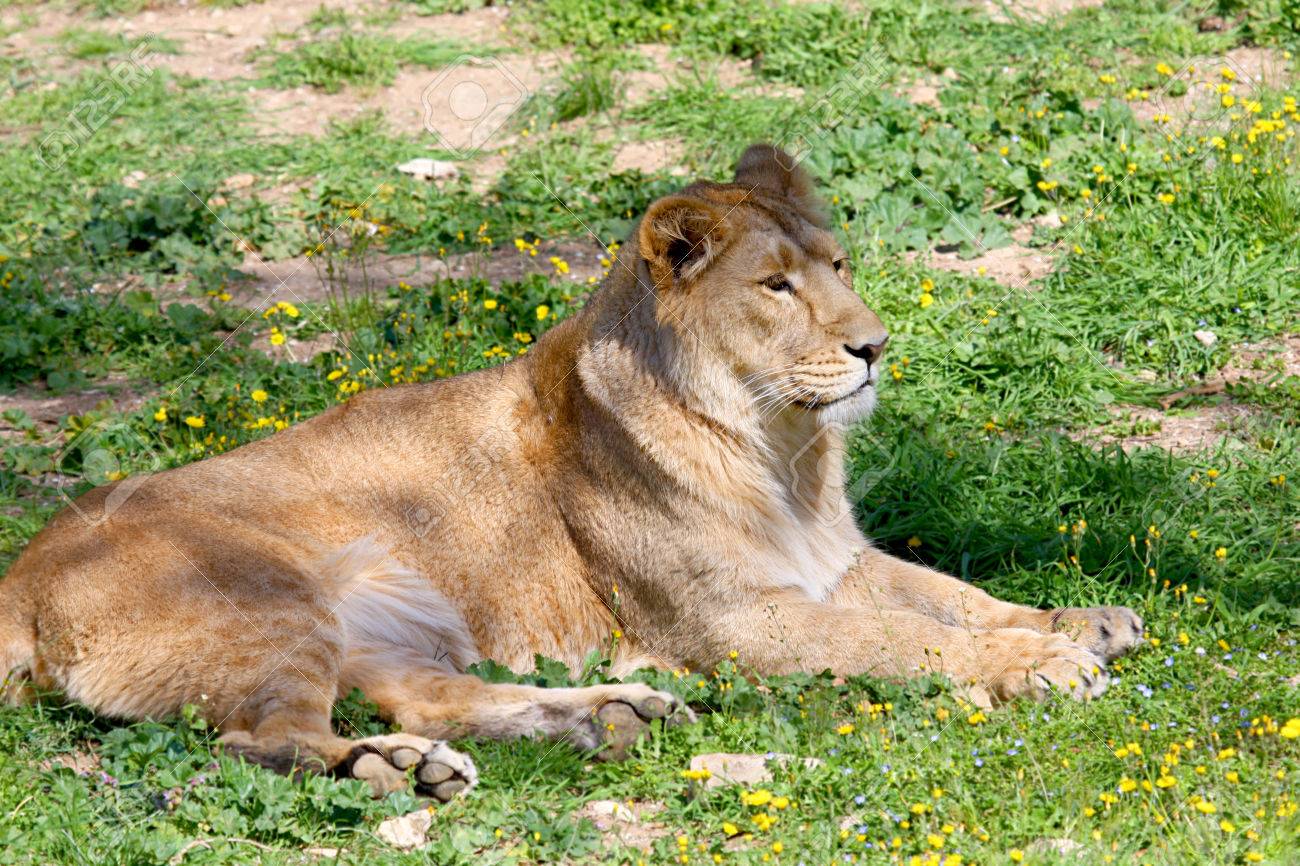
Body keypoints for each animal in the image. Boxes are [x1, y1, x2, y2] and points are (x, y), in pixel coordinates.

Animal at [0, 144, 1141, 799]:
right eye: (775, 286)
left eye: (838, 265)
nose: (875, 347)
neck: (783, 447)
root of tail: (20, 572)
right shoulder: (735, 621)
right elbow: (902, 636)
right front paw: (1037, 664)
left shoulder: (835, 562)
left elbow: (949, 591)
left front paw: (1080, 620)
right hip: (267, 601)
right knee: (264, 740)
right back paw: (401, 772)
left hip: (381, 622)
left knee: (426, 698)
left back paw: (603, 717)